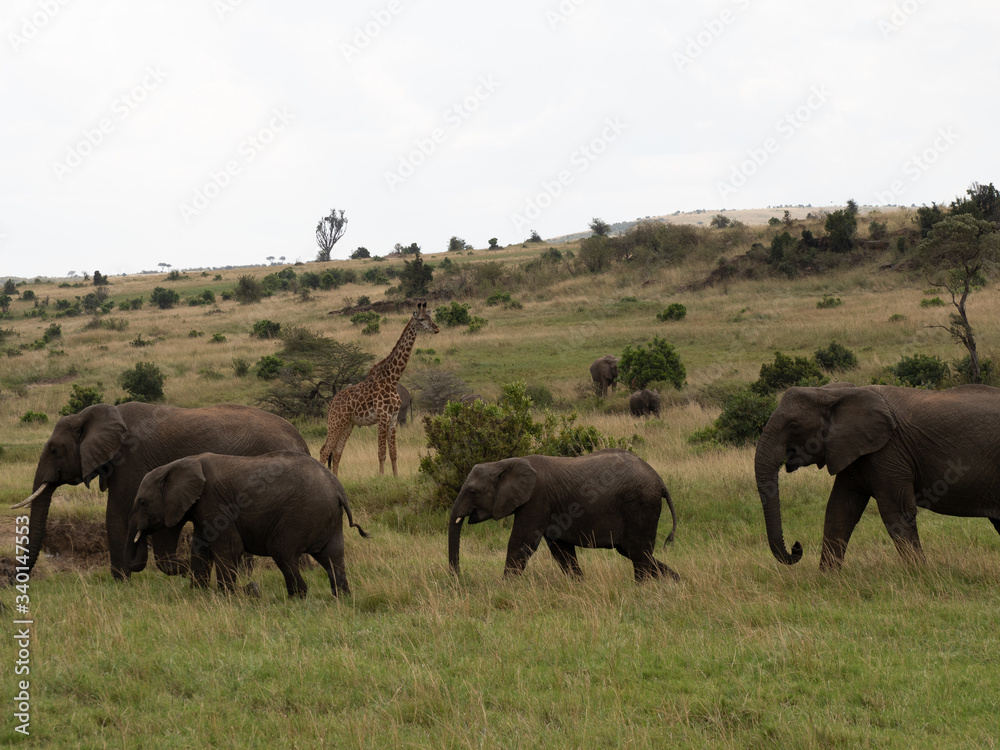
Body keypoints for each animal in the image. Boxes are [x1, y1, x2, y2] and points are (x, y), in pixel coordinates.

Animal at [11, 406, 308, 580]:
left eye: (54, 450)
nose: (17, 578)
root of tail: (300, 439)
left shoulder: (130, 460)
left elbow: (117, 514)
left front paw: (120, 582)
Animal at [127, 452, 370, 600]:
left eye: (142, 502)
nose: (252, 587)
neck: (182, 463)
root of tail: (337, 489)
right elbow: (201, 548)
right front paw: (198, 593)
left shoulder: (214, 501)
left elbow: (228, 548)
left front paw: (227, 595)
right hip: (326, 517)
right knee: (332, 556)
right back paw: (342, 597)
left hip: (302, 513)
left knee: (281, 550)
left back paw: (297, 597)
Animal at [320, 302, 438, 472]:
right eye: (421, 319)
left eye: (430, 317)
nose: (436, 328)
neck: (392, 379)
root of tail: (331, 404)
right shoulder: (382, 417)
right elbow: (381, 453)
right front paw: (381, 476)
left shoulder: (393, 417)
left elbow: (393, 453)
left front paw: (395, 477)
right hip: (336, 422)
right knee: (324, 450)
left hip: (348, 424)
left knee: (336, 452)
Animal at [452, 450, 680, 584]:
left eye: (472, 491)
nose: (459, 578)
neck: (504, 463)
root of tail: (660, 481)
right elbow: (561, 548)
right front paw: (580, 585)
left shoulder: (536, 498)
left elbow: (522, 542)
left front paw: (505, 587)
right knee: (634, 552)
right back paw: (675, 580)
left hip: (640, 505)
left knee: (638, 552)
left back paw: (642, 588)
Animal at [752, 384, 1000, 572]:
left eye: (793, 425)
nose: (796, 546)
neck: (835, 392)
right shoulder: (853, 451)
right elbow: (839, 511)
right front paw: (826, 580)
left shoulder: (889, 450)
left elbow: (896, 512)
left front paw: (920, 575)